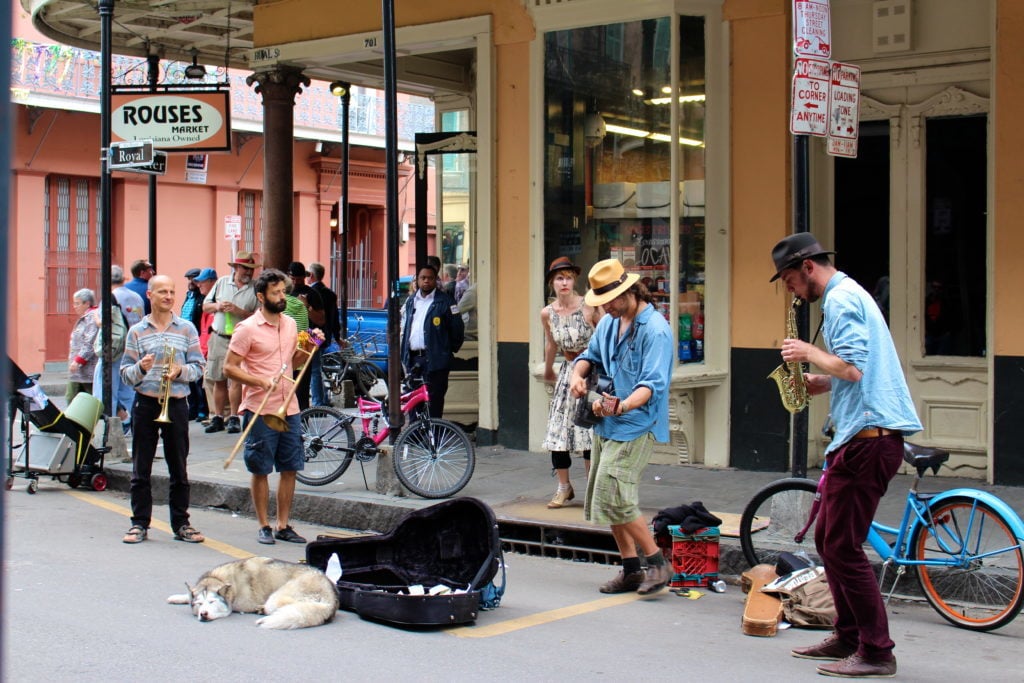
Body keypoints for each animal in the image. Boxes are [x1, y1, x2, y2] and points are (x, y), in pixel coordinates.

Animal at [167, 557, 339, 630]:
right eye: (199, 604)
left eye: (212, 602)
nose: (203, 614)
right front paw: (178, 597)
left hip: (276, 598)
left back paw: (263, 612)